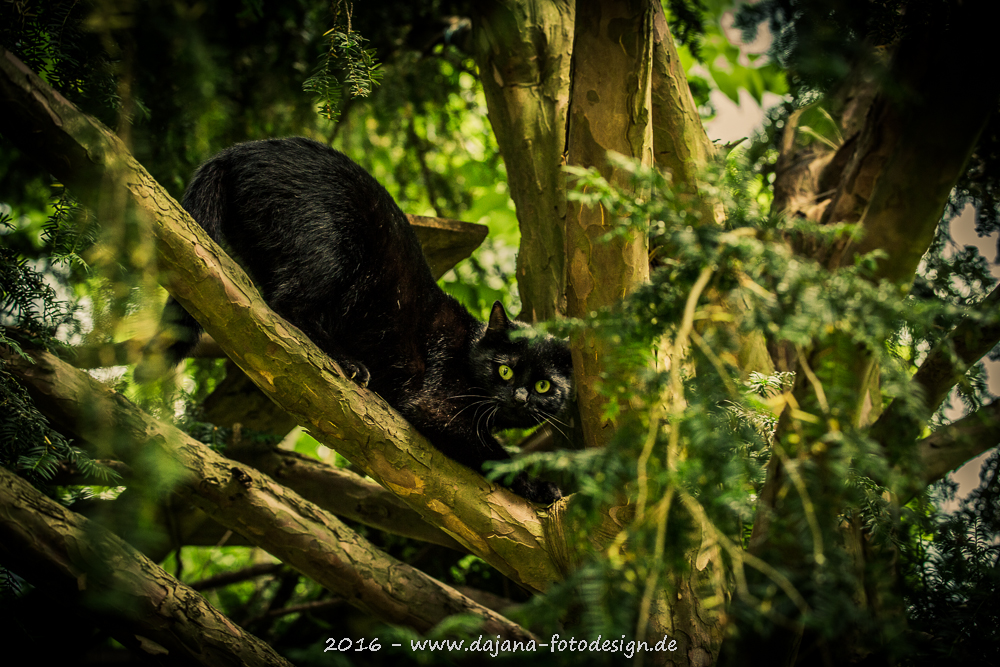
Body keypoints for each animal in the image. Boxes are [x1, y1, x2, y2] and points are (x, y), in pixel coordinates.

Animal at [145, 136, 576, 504]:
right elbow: (495, 454)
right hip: (329, 247)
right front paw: (540, 487)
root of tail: (238, 151)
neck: (467, 350)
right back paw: (349, 363)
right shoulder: (436, 407)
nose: (519, 397)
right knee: (284, 308)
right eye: (504, 371)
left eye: (543, 386)